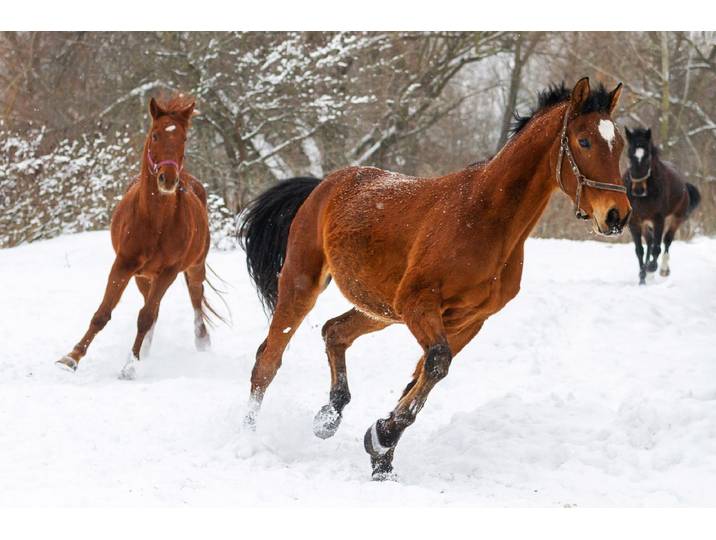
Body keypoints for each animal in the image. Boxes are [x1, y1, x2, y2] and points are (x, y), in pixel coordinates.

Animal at [56, 95, 220, 379]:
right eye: (155, 135)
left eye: (184, 138)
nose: (168, 179)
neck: (155, 221)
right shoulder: (123, 265)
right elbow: (103, 313)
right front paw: (71, 357)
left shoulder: (169, 272)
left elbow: (145, 317)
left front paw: (130, 366)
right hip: (143, 277)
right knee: (152, 307)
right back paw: (147, 349)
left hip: (194, 268)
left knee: (194, 299)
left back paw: (200, 341)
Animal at [239, 78, 631, 479]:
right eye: (584, 141)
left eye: (620, 144)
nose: (617, 216)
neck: (484, 217)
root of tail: (323, 185)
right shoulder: (419, 305)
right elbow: (437, 364)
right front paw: (381, 439)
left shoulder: (467, 321)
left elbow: (421, 378)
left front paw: (381, 454)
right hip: (303, 284)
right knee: (267, 360)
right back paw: (248, 440)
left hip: (380, 309)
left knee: (334, 332)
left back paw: (328, 418)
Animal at [623, 127, 701, 285]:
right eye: (630, 155)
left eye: (647, 157)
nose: (638, 190)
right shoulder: (634, 222)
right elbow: (639, 250)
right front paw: (642, 278)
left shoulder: (658, 219)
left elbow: (657, 248)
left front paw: (651, 268)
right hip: (645, 223)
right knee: (650, 241)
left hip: (676, 218)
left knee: (667, 241)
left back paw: (663, 269)